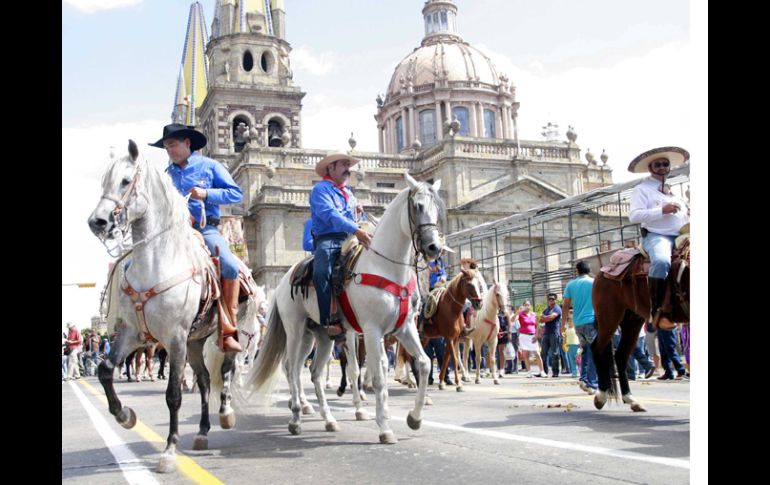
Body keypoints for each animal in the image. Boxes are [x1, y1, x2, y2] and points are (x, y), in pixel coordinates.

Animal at [86, 140, 255, 472]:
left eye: (125, 181)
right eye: (103, 182)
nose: (97, 222)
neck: (155, 263)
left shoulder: (174, 338)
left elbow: (173, 393)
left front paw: (168, 450)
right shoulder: (133, 334)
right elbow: (105, 370)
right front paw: (125, 416)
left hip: (233, 332)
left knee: (227, 368)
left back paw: (225, 415)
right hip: (195, 341)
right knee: (204, 380)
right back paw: (202, 431)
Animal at [250, 174, 444, 442]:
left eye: (438, 209)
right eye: (418, 206)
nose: (434, 247)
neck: (385, 267)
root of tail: (282, 283)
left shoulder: (404, 328)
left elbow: (423, 363)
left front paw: (414, 418)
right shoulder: (371, 331)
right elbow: (377, 376)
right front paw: (384, 427)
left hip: (319, 336)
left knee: (313, 372)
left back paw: (328, 419)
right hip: (295, 331)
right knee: (292, 369)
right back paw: (297, 416)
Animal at [588, 240, 688, 410]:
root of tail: (604, 270)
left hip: (632, 321)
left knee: (620, 355)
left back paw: (630, 398)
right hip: (609, 318)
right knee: (598, 349)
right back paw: (601, 395)